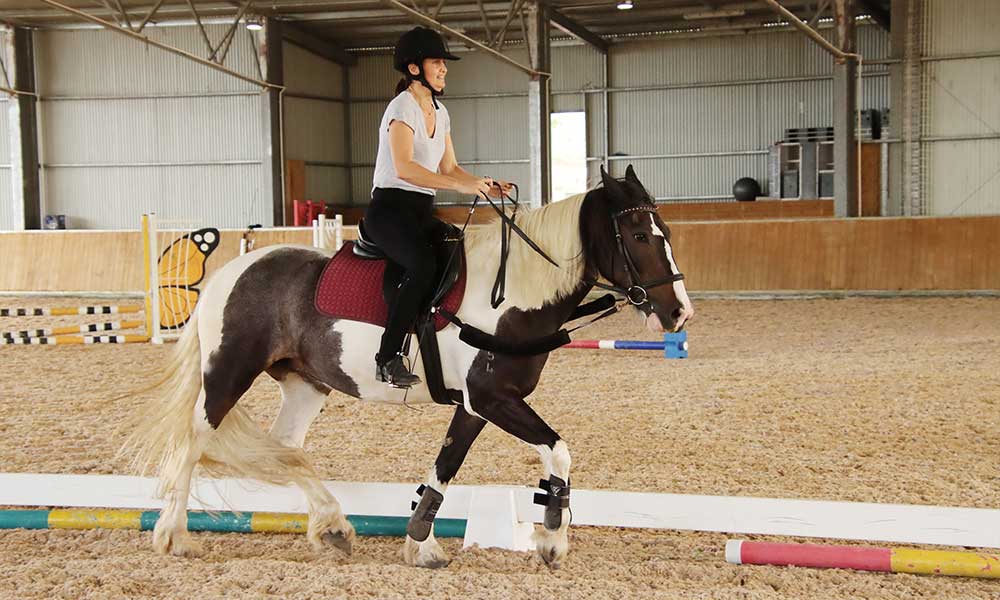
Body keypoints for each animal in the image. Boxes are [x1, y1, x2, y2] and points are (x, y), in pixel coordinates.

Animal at [123, 164, 694, 569]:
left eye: (665, 230)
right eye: (639, 236)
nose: (679, 312)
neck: (511, 295)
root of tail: (232, 272)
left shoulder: (477, 405)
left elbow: (444, 469)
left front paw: (421, 545)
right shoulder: (492, 398)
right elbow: (558, 450)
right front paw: (552, 536)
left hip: (306, 384)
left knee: (285, 449)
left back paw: (332, 525)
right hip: (228, 373)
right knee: (193, 441)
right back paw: (173, 536)